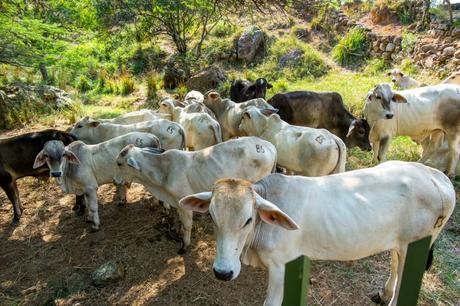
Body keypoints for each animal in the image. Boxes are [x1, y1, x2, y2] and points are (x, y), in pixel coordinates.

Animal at [33, 133, 162, 231]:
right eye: (46, 155)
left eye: (63, 154)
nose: (56, 173)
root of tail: (153, 137)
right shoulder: (84, 189)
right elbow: (88, 204)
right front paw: (89, 218)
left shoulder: (90, 187)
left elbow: (93, 206)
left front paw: (95, 225)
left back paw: (154, 205)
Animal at [114, 137, 276, 252]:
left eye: (119, 163)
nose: (115, 181)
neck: (164, 170)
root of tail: (269, 145)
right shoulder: (178, 203)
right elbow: (180, 221)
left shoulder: (184, 203)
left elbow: (187, 225)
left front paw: (184, 245)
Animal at [181, 161, 456, 304]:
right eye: (212, 216)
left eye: (248, 219)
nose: (222, 272)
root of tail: (436, 177)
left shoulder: (280, 266)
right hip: (401, 244)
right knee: (395, 265)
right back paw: (384, 292)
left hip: (415, 246)